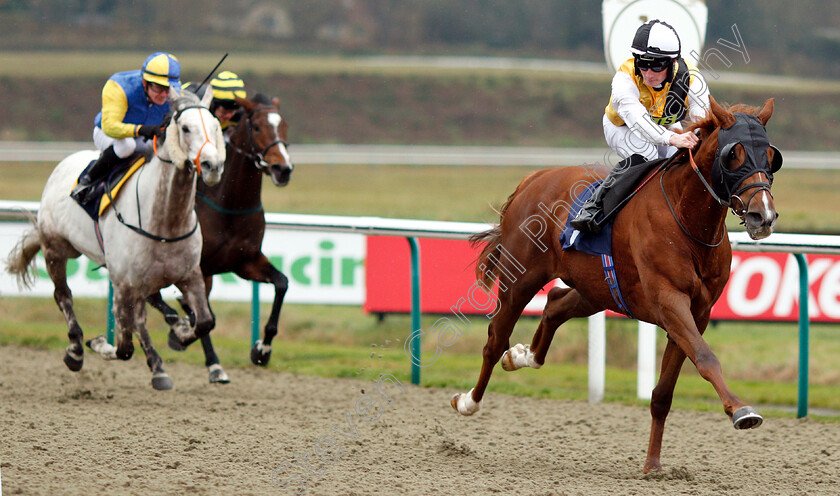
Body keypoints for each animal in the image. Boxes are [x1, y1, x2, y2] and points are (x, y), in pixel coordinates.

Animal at [5, 89, 226, 392]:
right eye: (185, 128)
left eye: (216, 126)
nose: (212, 166)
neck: (165, 222)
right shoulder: (122, 285)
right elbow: (123, 348)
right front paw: (98, 342)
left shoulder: (189, 275)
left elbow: (204, 322)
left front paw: (181, 331)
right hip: (56, 249)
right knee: (63, 296)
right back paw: (75, 349)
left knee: (142, 317)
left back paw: (159, 367)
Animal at [148, 94, 296, 384]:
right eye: (257, 127)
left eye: (284, 125)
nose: (282, 168)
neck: (229, 204)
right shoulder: (196, 268)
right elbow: (206, 316)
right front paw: (198, 350)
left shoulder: (245, 261)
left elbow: (281, 284)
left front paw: (262, 350)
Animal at [450, 97, 784, 472]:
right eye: (733, 154)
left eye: (770, 156)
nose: (763, 216)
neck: (687, 219)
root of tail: (533, 178)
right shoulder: (670, 302)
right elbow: (705, 357)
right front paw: (741, 411)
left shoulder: (696, 313)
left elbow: (663, 393)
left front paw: (652, 464)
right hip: (519, 278)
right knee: (495, 339)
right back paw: (469, 400)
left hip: (597, 289)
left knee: (555, 303)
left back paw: (521, 355)